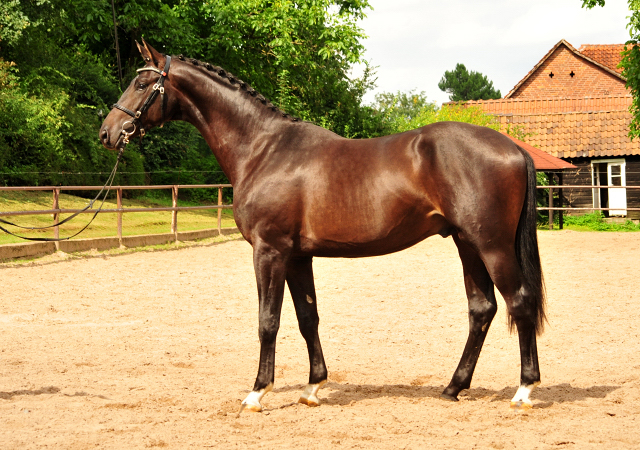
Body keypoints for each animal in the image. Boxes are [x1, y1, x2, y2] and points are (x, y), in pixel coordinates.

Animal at [99, 40, 544, 414]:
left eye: (142, 83)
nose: (107, 132)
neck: (264, 149)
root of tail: (512, 147)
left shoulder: (270, 251)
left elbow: (268, 321)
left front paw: (257, 392)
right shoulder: (298, 257)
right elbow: (306, 317)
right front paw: (314, 387)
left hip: (492, 245)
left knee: (520, 302)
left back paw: (524, 391)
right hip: (467, 244)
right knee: (482, 309)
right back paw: (453, 387)